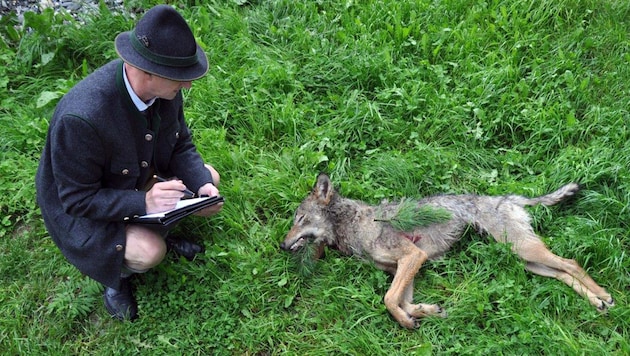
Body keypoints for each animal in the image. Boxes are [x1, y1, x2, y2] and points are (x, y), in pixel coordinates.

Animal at [282, 173, 616, 328]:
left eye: (299, 218)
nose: (282, 245)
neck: (355, 224)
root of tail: (508, 197)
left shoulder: (412, 258)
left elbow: (389, 300)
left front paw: (407, 321)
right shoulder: (406, 268)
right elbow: (404, 301)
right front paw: (427, 311)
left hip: (526, 252)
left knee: (571, 262)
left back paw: (604, 295)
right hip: (527, 261)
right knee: (562, 273)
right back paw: (598, 302)